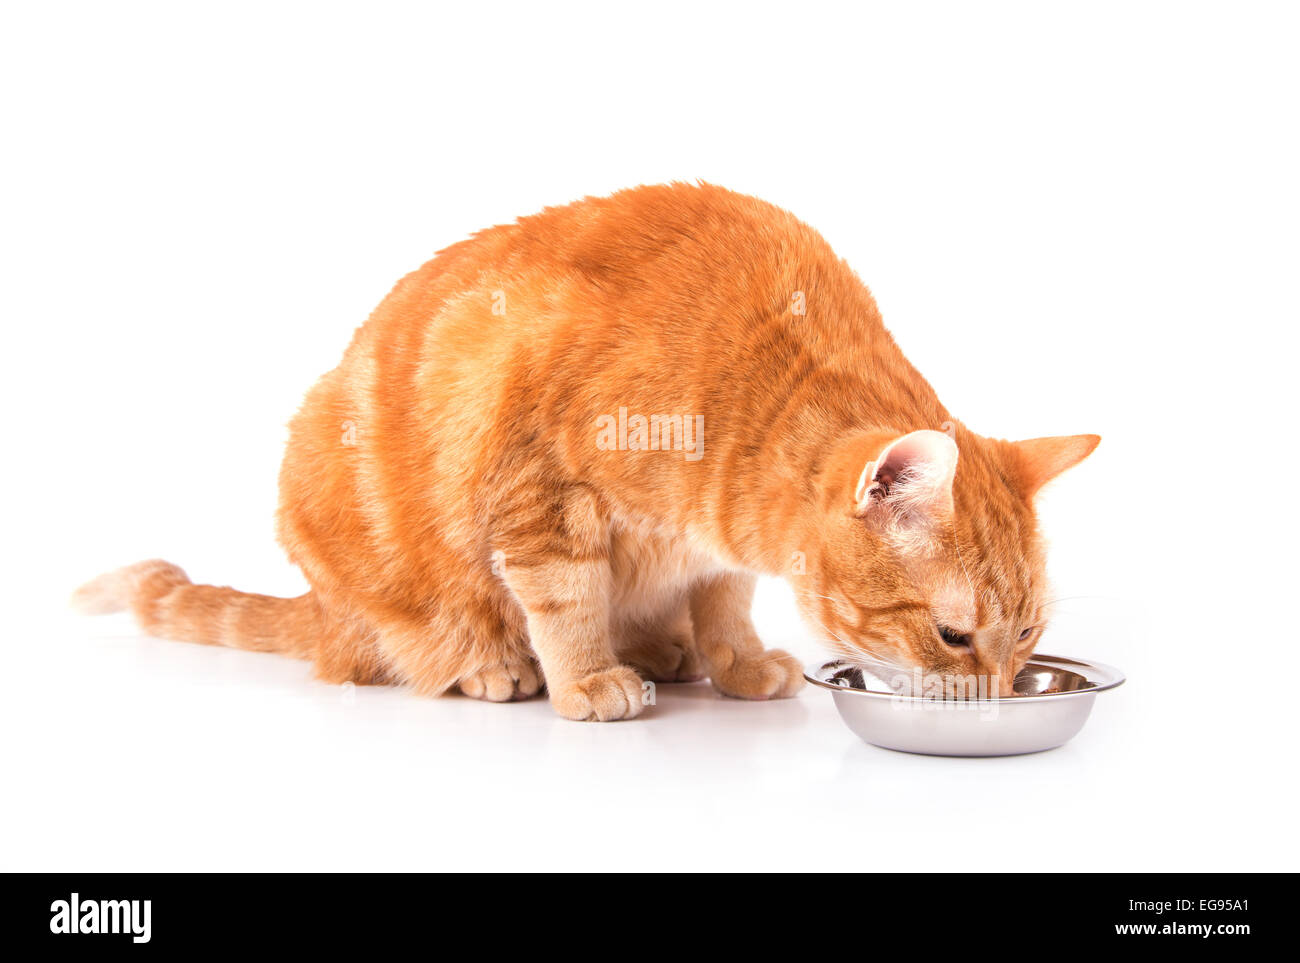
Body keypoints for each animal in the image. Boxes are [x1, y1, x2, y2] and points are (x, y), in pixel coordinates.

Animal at [73, 184, 1097, 717]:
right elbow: (563, 601)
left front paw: (731, 660)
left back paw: (662, 650)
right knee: (404, 645)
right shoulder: (544, 496)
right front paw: (585, 678)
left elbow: (724, 604)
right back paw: (495, 664)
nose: (1000, 694)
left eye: (1028, 635)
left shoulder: (710, 550)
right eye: (954, 635)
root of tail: (319, 609)